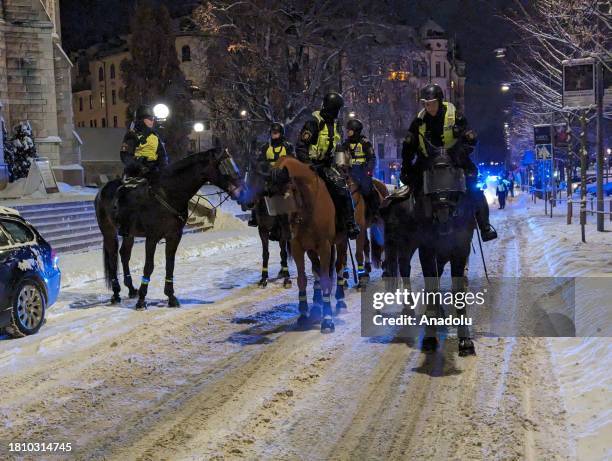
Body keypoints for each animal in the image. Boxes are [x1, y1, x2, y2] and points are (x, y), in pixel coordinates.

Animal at [95, 148, 244, 310]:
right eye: (224, 165)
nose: (241, 190)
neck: (168, 193)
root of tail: (101, 191)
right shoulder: (152, 237)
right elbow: (149, 267)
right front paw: (142, 300)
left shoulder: (174, 236)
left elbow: (170, 265)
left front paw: (171, 297)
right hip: (109, 232)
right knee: (112, 257)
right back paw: (116, 293)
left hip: (129, 234)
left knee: (124, 254)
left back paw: (131, 288)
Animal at [382, 144, 478, 356]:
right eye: (429, 176)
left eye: (454, 174)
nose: (442, 213)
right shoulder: (427, 250)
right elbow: (432, 285)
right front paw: (430, 337)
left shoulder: (459, 250)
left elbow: (456, 288)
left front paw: (465, 340)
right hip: (405, 243)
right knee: (404, 268)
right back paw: (409, 307)